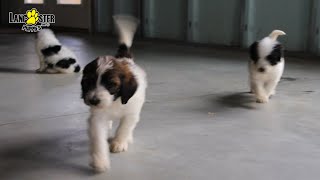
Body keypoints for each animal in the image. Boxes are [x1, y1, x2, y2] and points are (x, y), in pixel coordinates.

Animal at [80, 15, 147, 173]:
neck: (115, 101)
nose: (93, 101)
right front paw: (100, 160)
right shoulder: (97, 118)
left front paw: (119, 142)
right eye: (88, 82)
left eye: (111, 85)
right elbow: (98, 138)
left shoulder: (131, 113)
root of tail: (125, 58)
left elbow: (124, 127)